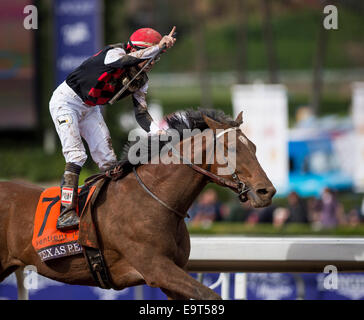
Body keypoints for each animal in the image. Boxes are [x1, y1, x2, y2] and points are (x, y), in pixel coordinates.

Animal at [0, 109, 272, 298]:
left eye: (254, 147)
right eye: (231, 149)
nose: (267, 191)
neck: (154, 199)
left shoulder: (173, 272)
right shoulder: (156, 269)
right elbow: (210, 295)